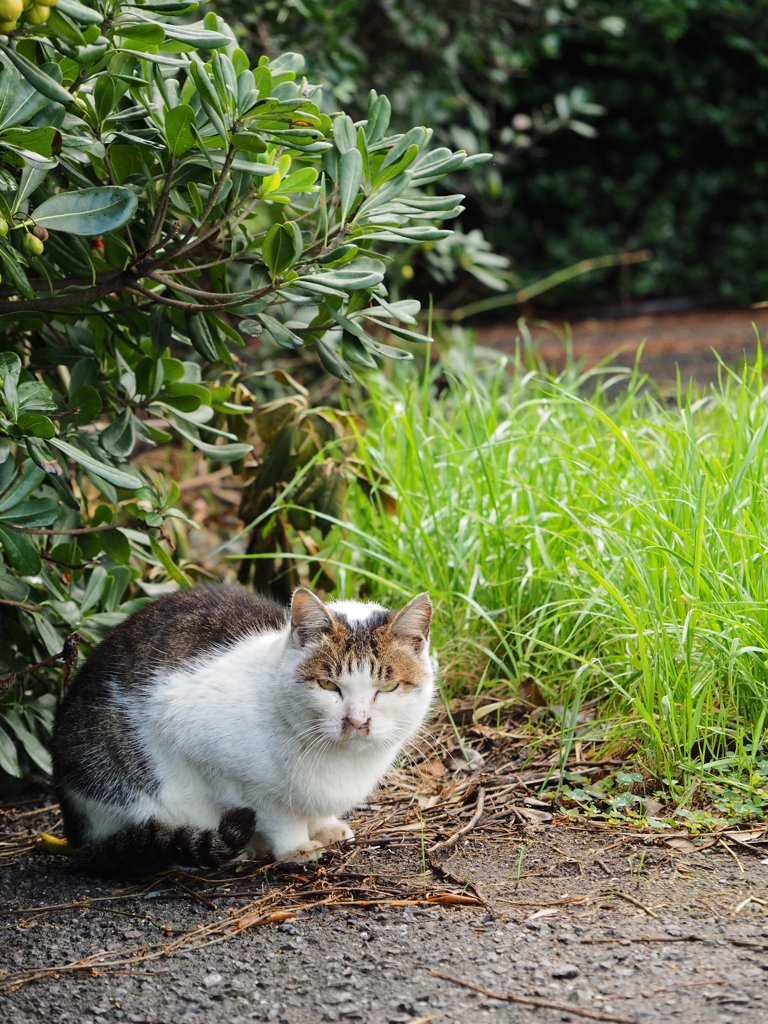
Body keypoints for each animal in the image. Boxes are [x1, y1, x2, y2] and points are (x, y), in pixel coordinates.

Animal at [51, 585, 436, 880]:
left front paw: (325, 826)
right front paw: (296, 846)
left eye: (387, 688)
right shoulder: (208, 752)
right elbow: (276, 815)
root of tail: (74, 830)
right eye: (328, 685)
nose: (357, 721)